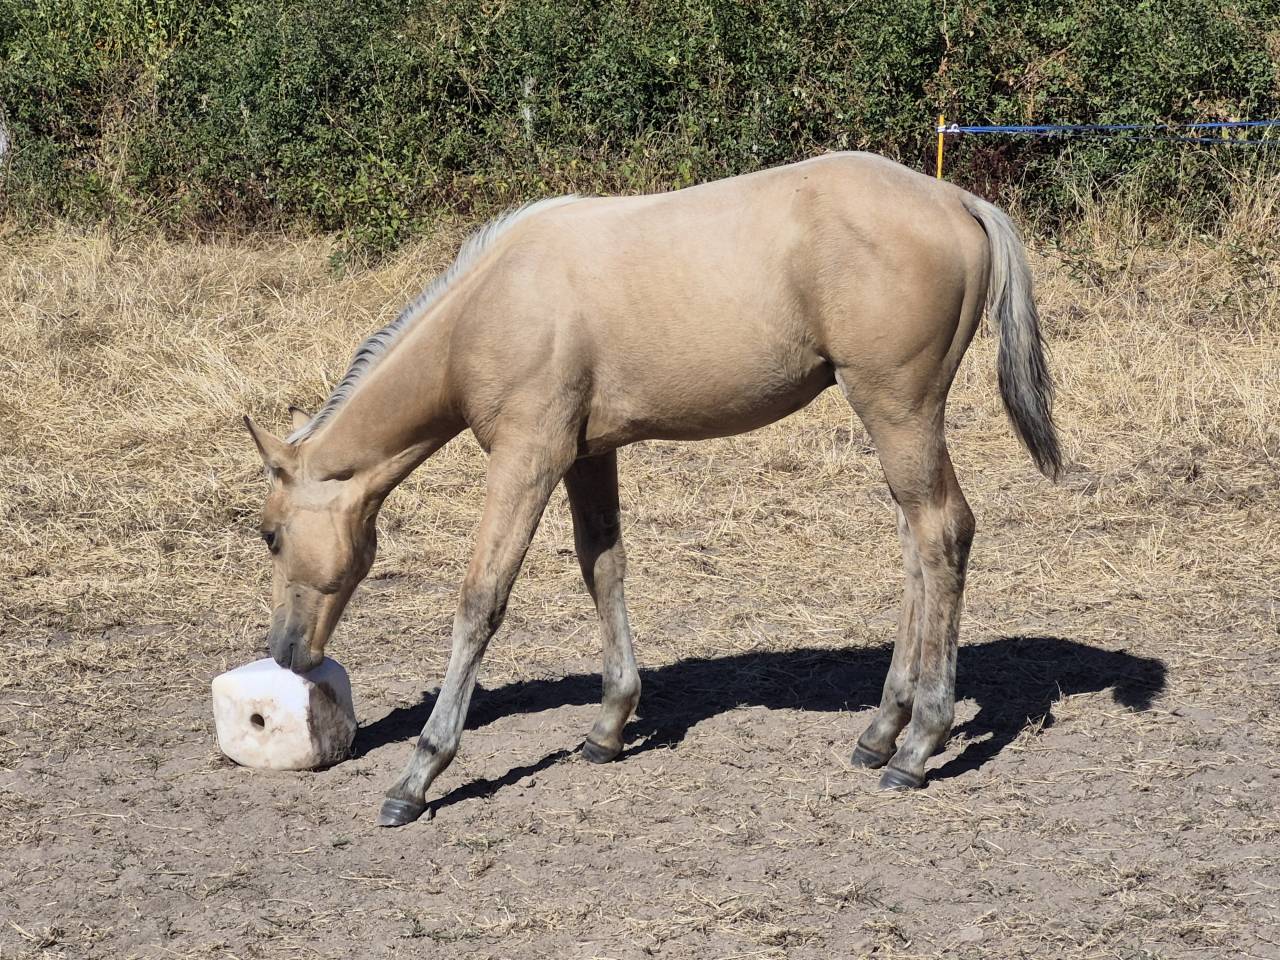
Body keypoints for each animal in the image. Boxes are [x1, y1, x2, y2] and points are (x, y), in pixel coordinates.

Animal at [242, 151, 1060, 827]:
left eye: (270, 534)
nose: (285, 652)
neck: (493, 303)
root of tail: (957, 200)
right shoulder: (587, 455)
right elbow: (603, 568)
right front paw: (609, 726)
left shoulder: (527, 457)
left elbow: (481, 600)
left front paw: (418, 775)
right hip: (899, 421)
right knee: (916, 546)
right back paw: (881, 731)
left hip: (898, 408)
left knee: (943, 532)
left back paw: (919, 745)